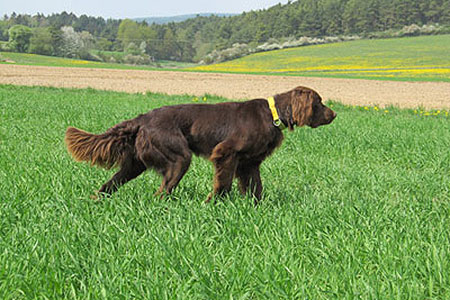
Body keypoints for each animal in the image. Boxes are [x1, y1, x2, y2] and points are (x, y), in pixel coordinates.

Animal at [65, 86, 336, 204]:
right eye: (320, 102)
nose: (334, 114)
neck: (273, 114)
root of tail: (143, 118)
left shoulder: (249, 164)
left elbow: (255, 188)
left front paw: (256, 207)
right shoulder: (226, 153)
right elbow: (223, 184)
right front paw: (211, 204)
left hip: (135, 164)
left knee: (108, 185)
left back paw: (94, 201)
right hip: (178, 158)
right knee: (161, 192)